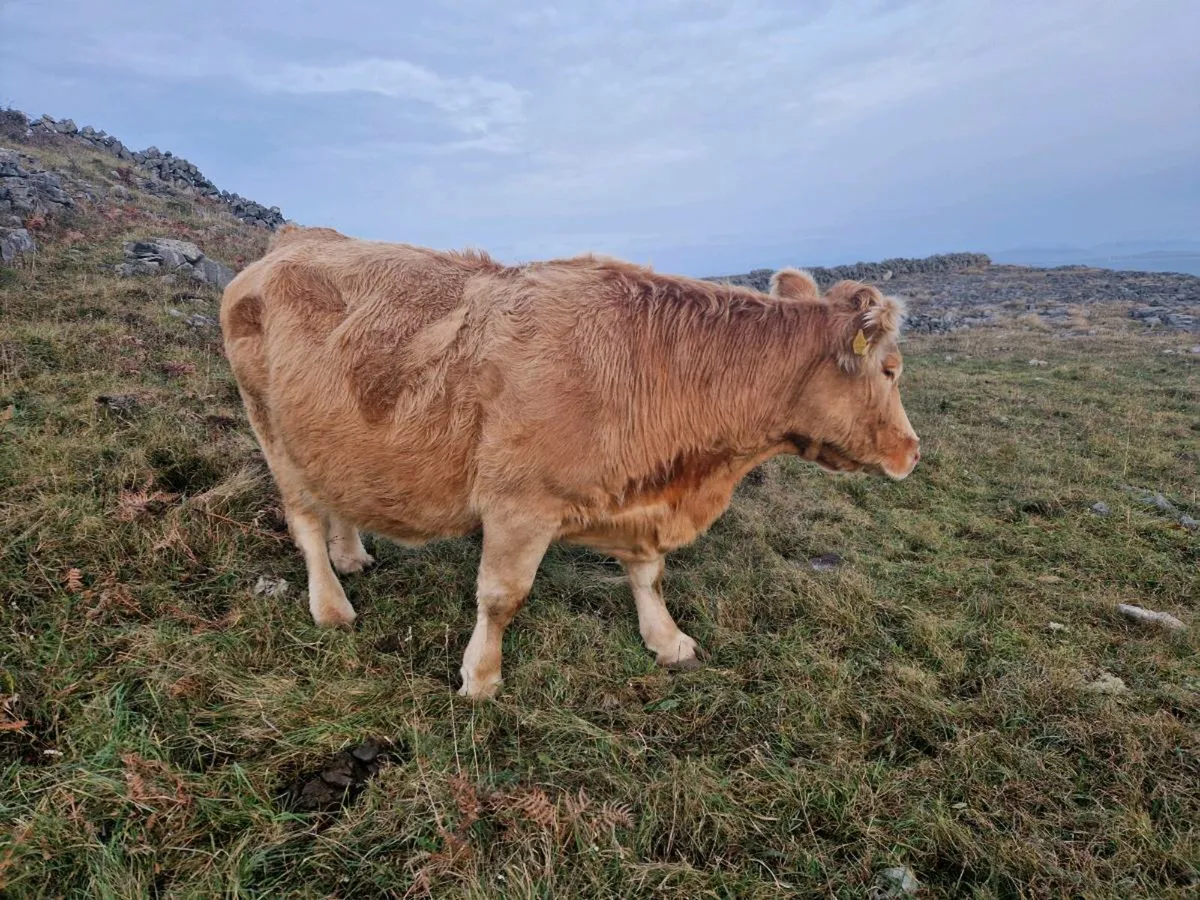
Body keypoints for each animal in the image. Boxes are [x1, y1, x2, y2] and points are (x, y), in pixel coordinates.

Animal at [219, 226, 920, 698]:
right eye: (889, 369)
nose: (912, 451)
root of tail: (291, 242)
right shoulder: (518, 504)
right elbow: (502, 595)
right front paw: (481, 677)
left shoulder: (639, 500)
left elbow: (648, 577)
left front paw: (668, 641)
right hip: (271, 431)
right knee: (304, 519)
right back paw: (331, 604)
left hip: (327, 437)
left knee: (336, 500)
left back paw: (352, 556)